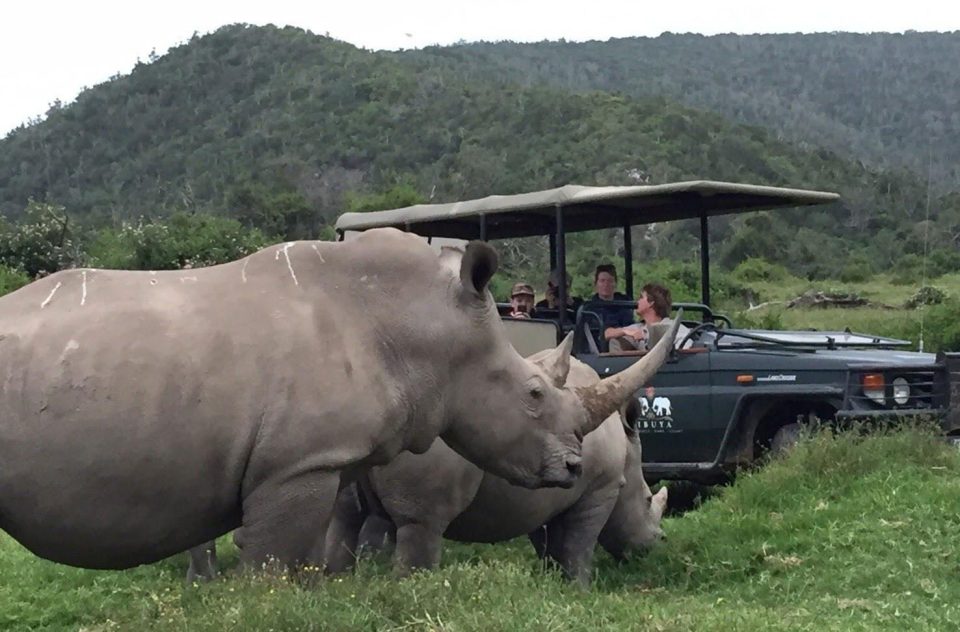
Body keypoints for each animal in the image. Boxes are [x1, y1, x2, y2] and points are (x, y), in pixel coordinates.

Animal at [0, 230, 652, 576]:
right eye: (534, 394)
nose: (575, 468)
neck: (416, 324)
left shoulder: (325, 458)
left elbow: (317, 556)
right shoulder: (295, 464)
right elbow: (275, 566)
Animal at [318, 320, 680, 588]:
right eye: (648, 501)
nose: (657, 543)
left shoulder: (546, 488)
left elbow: (550, 542)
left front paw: (553, 587)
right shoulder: (600, 489)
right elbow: (579, 547)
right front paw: (581, 590)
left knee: (344, 517)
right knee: (420, 524)